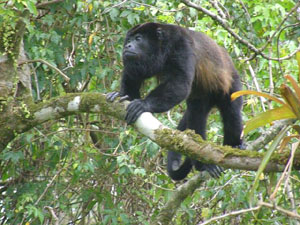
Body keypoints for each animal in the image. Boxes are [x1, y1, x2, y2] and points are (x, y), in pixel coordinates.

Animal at [107, 22, 244, 181]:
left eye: (138, 38)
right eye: (129, 39)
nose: (127, 46)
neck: (163, 46)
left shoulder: (181, 46)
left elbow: (180, 83)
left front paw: (143, 104)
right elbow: (132, 76)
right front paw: (121, 95)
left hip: (233, 85)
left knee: (232, 112)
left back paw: (234, 146)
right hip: (201, 98)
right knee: (197, 116)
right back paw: (203, 164)